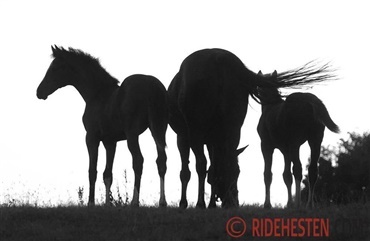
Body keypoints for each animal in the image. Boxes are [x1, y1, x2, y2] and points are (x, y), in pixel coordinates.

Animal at [36, 46, 168, 206]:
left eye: (55, 68)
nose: (39, 91)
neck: (97, 94)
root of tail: (151, 86)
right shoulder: (110, 142)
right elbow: (107, 174)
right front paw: (107, 204)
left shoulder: (91, 138)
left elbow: (92, 171)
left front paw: (91, 203)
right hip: (159, 130)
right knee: (161, 160)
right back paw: (162, 202)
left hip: (132, 134)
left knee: (138, 160)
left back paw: (135, 201)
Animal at [258, 70, 338, 208]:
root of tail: (311, 101)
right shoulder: (285, 149)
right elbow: (286, 175)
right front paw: (288, 203)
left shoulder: (266, 145)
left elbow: (268, 174)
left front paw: (267, 204)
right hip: (315, 140)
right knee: (312, 170)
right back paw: (309, 204)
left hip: (295, 142)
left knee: (298, 168)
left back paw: (299, 203)